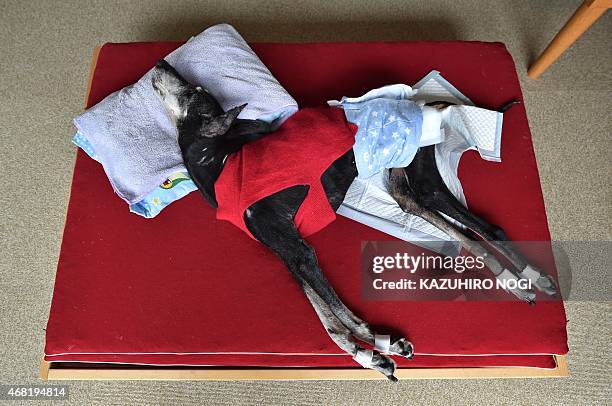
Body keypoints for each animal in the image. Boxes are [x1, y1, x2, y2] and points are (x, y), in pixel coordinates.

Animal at [151, 60, 556, 380]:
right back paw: (521, 279)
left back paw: (522, 280)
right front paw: (369, 355)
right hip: (404, 185)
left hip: (422, 179)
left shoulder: (298, 250)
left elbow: (340, 315)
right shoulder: (286, 253)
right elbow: (329, 322)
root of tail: (420, 101)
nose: (162, 63)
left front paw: (382, 343)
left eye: (195, 91)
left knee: (480, 229)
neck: (220, 162)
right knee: (462, 226)